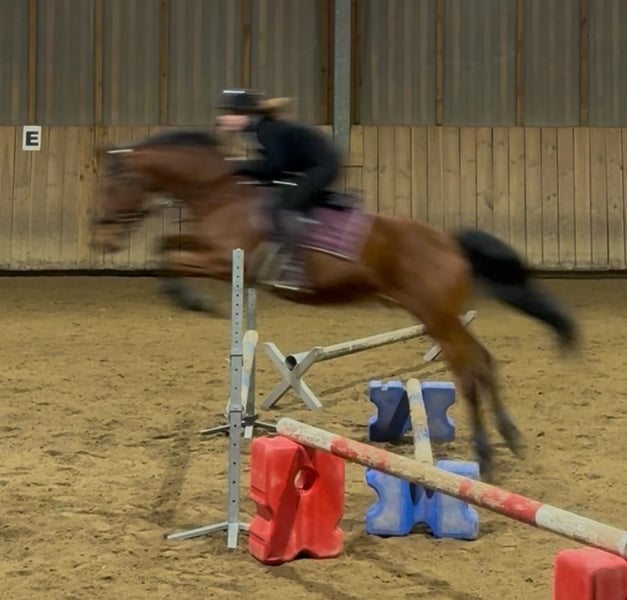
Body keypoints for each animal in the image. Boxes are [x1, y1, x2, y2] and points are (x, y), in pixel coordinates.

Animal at [90, 128, 579, 482]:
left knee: (469, 371)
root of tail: (450, 242)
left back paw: (487, 454)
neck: (218, 192)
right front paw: (182, 294)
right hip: (439, 317)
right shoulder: (210, 250)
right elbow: (167, 246)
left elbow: (167, 256)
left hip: (436, 316)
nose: (103, 240)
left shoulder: (222, 260)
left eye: (119, 183)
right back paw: (510, 439)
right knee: (483, 360)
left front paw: (188, 299)